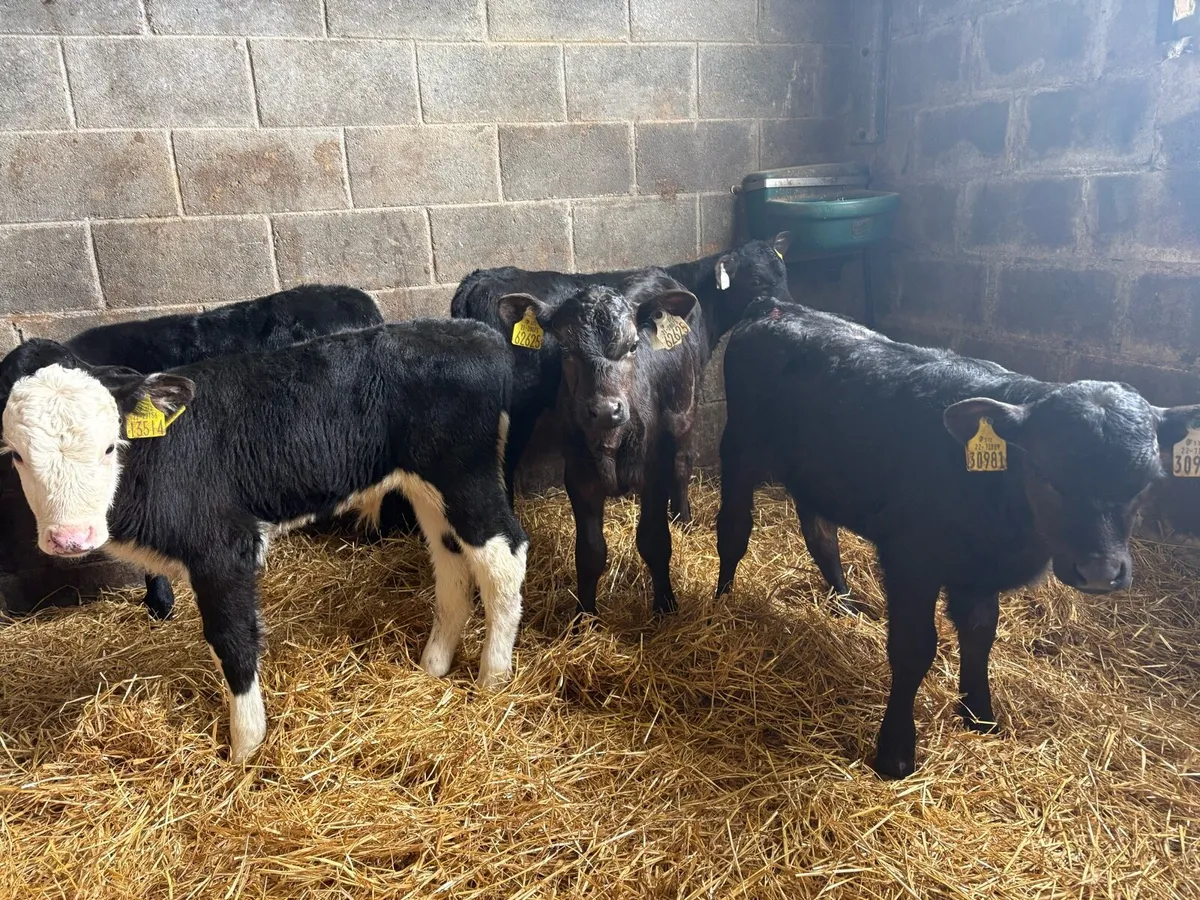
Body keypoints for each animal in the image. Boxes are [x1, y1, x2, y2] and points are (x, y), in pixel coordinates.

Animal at [1, 319, 529, 763]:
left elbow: (232, 639)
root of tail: (472, 330)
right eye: (16, 455)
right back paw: (433, 665)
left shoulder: (224, 547)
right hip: (428, 486)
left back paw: (493, 677)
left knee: (504, 556)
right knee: (451, 558)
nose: (71, 537)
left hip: (464, 474)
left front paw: (245, 749)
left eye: (110, 445)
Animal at [450, 233, 793, 522]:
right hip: (516, 409)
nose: (786, 306)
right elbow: (681, 460)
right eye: (756, 279)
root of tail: (478, 278)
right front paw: (683, 516)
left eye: (785, 272)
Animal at [497, 272, 701, 619]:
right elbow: (590, 552)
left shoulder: (654, 472)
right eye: (566, 348)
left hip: (685, 411)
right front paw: (584, 616)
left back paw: (683, 519)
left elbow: (655, 541)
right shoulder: (579, 477)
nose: (606, 409)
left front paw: (665, 607)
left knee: (682, 466)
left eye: (633, 346)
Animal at [714, 298, 1200, 779]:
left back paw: (846, 604)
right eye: (1046, 475)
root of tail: (777, 306)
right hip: (739, 445)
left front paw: (981, 717)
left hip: (817, 473)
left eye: (1147, 482)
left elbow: (981, 633)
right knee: (733, 530)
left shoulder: (977, 570)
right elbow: (913, 648)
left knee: (820, 535)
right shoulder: (911, 558)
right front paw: (895, 752)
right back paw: (722, 603)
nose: (1099, 572)